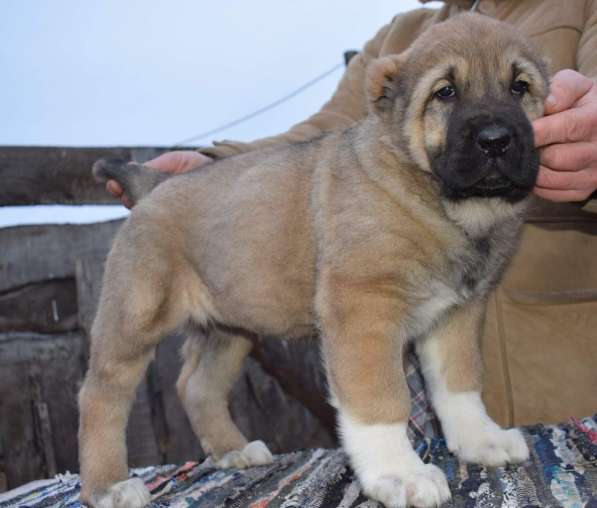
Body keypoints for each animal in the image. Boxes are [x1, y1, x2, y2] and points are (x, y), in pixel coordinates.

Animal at [80, 13, 548, 506]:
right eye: (446, 92)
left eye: (519, 87)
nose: (496, 141)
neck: (436, 199)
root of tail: (152, 184)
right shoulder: (364, 309)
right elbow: (380, 399)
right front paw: (399, 474)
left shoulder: (457, 312)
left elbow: (460, 382)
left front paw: (481, 440)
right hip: (135, 316)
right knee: (101, 396)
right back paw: (109, 486)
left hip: (228, 328)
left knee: (197, 386)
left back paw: (233, 452)